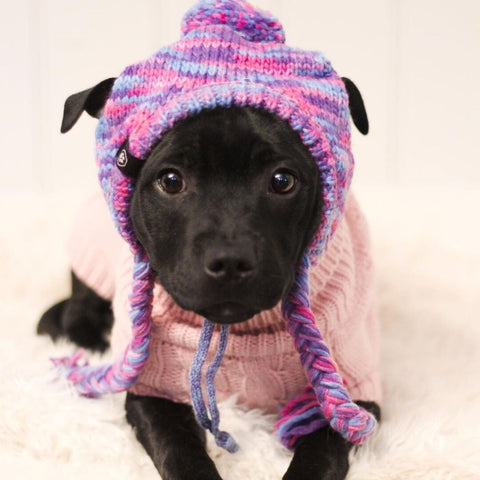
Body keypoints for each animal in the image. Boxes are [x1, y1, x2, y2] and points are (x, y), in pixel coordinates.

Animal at [37, 1, 382, 478]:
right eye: (170, 180)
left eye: (283, 180)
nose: (231, 261)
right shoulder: (153, 387)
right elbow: (178, 449)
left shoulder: (354, 387)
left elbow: (323, 450)